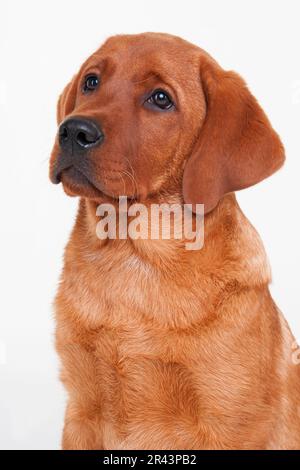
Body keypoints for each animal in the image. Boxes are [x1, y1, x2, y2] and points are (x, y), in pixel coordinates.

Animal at [49, 31, 300, 450]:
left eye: (161, 98)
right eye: (91, 81)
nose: (73, 131)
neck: (132, 259)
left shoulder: (230, 423)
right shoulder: (79, 410)